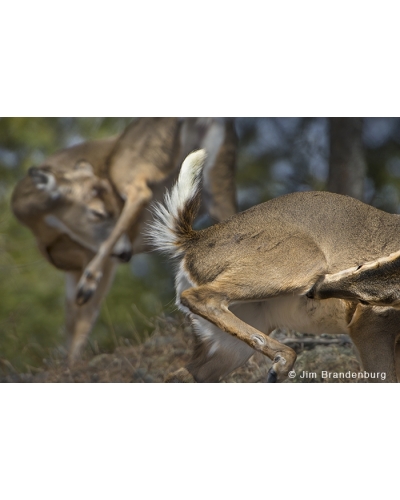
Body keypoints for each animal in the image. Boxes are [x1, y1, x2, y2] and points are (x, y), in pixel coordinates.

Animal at [11, 119, 238, 366]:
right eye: (98, 213)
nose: (125, 253)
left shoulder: (93, 258)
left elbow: (84, 317)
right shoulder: (71, 270)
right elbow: (72, 322)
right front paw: (69, 364)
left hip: (134, 164)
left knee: (140, 191)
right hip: (218, 178)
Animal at [148, 148, 400, 382]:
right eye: (361, 266)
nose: (317, 291)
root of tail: (194, 240)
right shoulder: (369, 325)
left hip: (231, 341)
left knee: (181, 374)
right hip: (302, 263)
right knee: (200, 297)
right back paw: (281, 362)